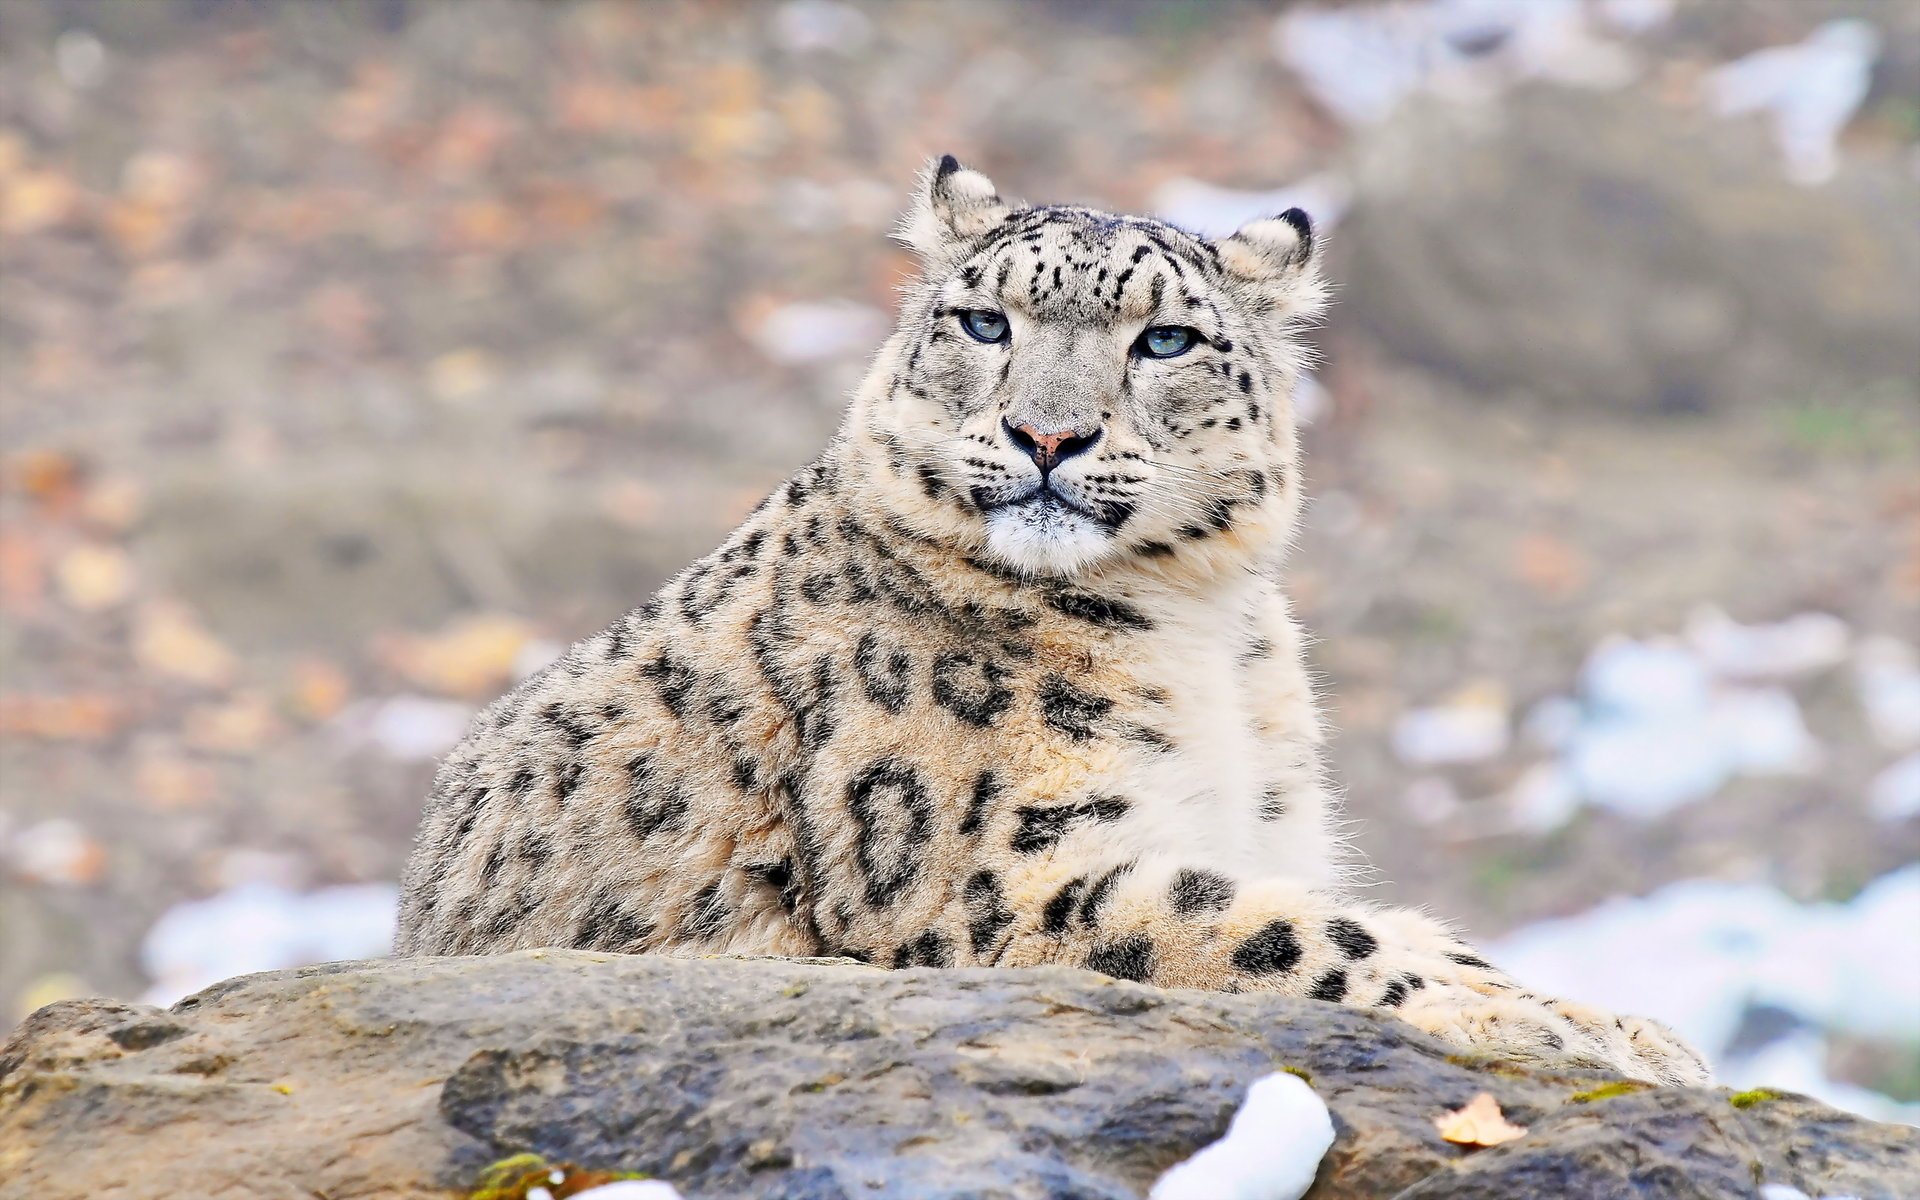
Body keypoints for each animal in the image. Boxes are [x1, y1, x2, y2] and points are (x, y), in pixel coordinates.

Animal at [395, 157, 1710, 1087]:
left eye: (1165, 339)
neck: (1201, 635)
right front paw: (1577, 1029)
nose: (1046, 435)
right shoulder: (996, 883)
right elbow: (1301, 933)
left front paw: (1624, 1027)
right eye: (986, 323)